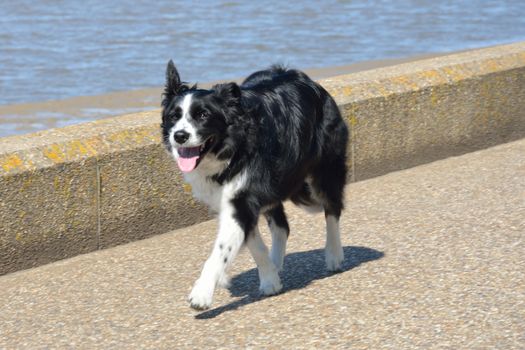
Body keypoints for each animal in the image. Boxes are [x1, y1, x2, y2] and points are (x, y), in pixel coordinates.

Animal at [160, 61, 348, 310]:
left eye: (203, 115)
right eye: (174, 116)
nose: (180, 135)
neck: (232, 148)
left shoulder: (243, 198)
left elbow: (221, 250)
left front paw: (201, 293)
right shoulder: (236, 201)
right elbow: (254, 244)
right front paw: (270, 279)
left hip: (325, 169)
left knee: (332, 209)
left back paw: (334, 255)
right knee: (282, 226)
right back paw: (276, 266)